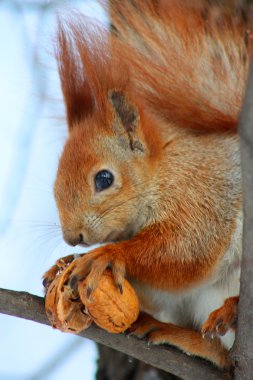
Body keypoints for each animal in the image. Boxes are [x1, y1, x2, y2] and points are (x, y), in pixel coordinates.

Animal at [43, 0, 251, 370]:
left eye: (104, 179)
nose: (73, 237)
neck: (160, 174)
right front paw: (64, 263)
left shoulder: (202, 192)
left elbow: (185, 249)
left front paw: (108, 254)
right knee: (222, 359)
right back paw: (172, 332)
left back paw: (229, 310)